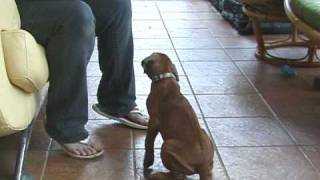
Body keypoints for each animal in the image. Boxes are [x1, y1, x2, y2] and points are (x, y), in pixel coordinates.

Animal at [141, 52, 214, 180]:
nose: (141, 61)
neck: (165, 77)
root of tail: (203, 165)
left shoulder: (153, 120)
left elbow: (148, 141)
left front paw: (148, 161)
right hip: (204, 134)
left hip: (167, 146)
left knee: (177, 175)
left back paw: (158, 175)